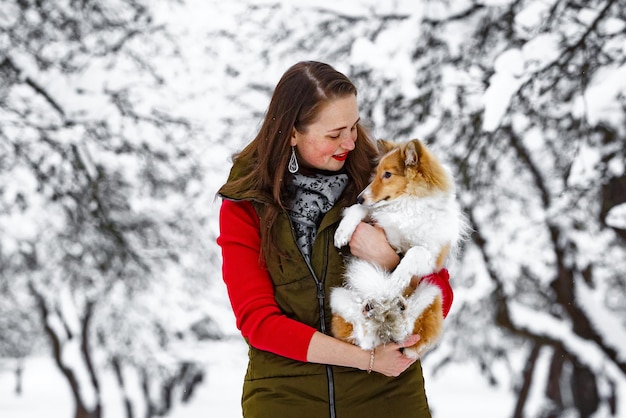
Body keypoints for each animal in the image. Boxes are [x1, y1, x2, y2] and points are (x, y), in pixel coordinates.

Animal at [330, 138, 466, 360]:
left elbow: (413, 252)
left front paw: (397, 278)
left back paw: (398, 307)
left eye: (387, 174)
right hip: (339, 297)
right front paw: (342, 233)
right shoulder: (383, 220)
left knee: (407, 333)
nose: (359, 197)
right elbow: (362, 210)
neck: (407, 205)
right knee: (364, 338)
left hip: (432, 294)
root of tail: (384, 324)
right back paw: (370, 310)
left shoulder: (432, 257)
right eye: (376, 172)